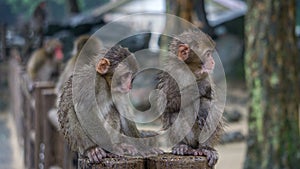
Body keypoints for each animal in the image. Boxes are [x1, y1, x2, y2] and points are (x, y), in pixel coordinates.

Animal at [157, 29, 223, 166]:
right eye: (208, 54)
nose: (213, 62)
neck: (191, 70)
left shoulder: (206, 76)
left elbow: (210, 100)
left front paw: (204, 107)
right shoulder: (173, 74)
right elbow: (168, 104)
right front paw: (199, 87)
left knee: (212, 112)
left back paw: (206, 148)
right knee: (175, 114)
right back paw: (183, 146)